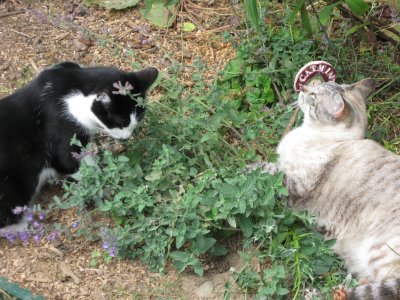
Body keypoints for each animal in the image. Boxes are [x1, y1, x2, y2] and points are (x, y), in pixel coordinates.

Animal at [0, 62, 159, 229]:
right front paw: (111, 188)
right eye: (122, 123)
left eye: (139, 119)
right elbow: (82, 168)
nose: (126, 137)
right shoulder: (63, 135)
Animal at [250, 78, 400, 298]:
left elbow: (258, 171)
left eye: (313, 95)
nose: (302, 89)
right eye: (318, 84)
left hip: (379, 253)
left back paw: (314, 293)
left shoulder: (292, 185)